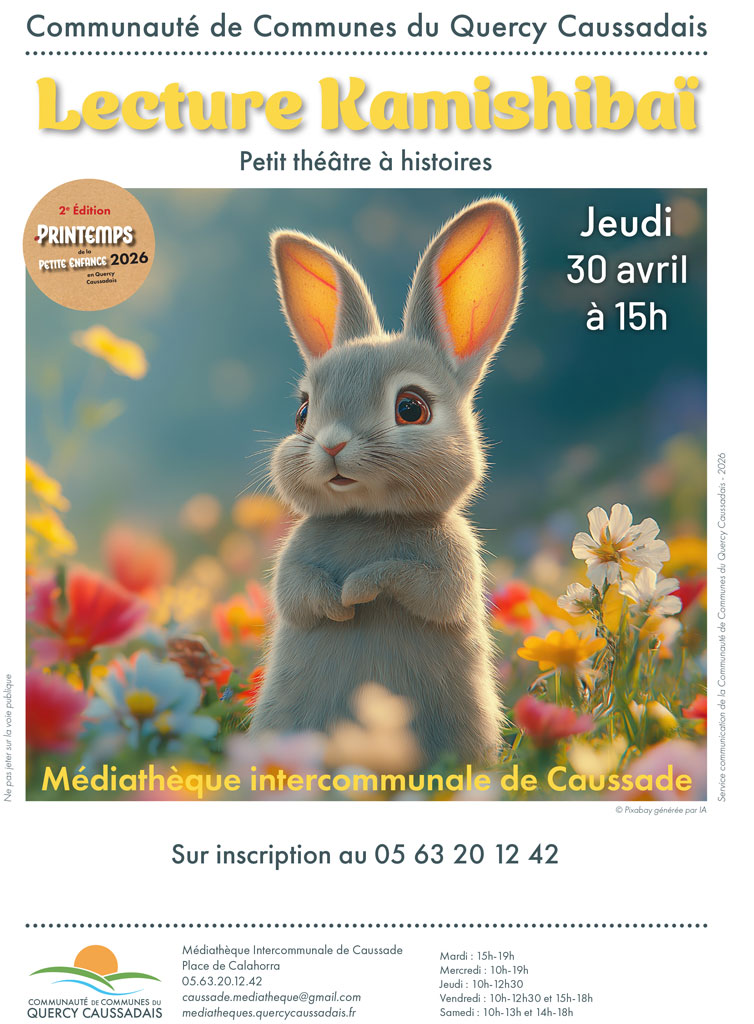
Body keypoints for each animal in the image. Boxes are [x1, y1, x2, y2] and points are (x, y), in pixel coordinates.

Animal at [249, 197, 524, 767]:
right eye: (302, 413)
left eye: (411, 408)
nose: (331, 445)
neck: (368, 516)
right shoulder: (293, 563)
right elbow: (297, 592)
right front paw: (338, 604)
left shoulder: (450, 567)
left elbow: (415, 584)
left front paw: (357, 590)